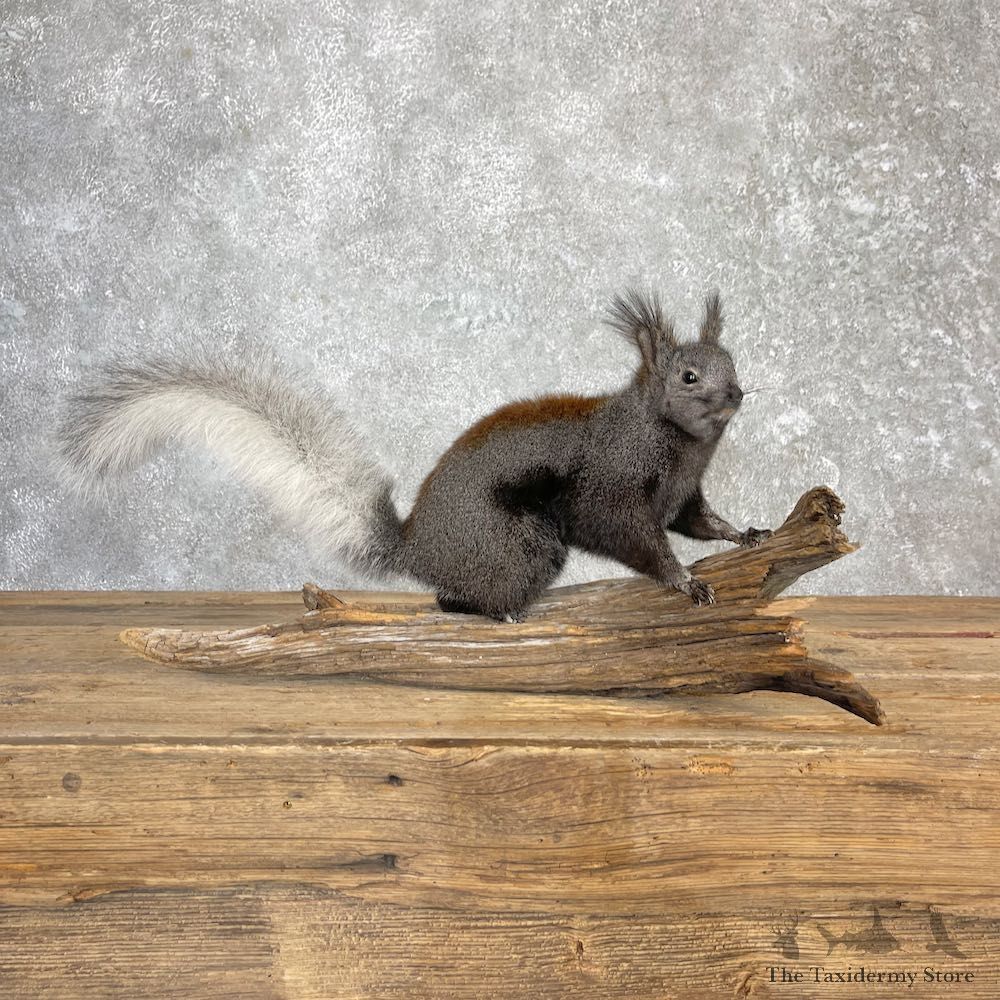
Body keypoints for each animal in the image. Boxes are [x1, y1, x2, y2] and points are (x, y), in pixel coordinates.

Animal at [60, 289, 772, 621]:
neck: (677, 443)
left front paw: (747, 535)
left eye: (733, 362)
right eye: (688, 376)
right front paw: (684, 580)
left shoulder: (683, 495)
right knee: (458, 598)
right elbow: (639, 539)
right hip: (517, 542)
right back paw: (501, 609)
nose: (737, 393)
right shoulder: (612, 486)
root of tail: (416, 549)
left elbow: (700, 522)